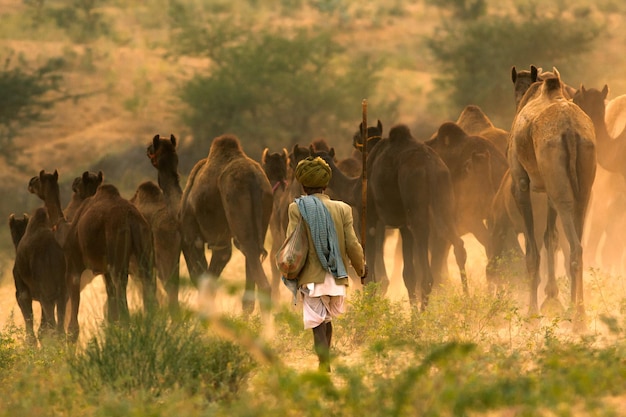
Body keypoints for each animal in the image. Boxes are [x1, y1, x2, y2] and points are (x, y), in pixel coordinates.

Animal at [63, 182, 156, 338]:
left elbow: (74, 309)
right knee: (148, 285)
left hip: (117, 254)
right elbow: (110, 304)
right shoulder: (105, 270)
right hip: (144, 250)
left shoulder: (73, 263)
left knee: (122, 293)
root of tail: (131, 218)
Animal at [177, 133, 272, 312]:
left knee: (262, 282)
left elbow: (203, 279)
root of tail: (253, 179)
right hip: (263, 216)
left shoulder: (192, 237)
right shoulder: (220, 242)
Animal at [504, 68, 592, 328]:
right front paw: (554, 301)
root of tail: (570, 132)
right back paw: (578, 313)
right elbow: (550, 238)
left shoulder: (520, 183)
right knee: (577, 240)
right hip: (580, 184)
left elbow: (532, 252)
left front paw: (532, 314)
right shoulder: (550, 188)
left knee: (574, 246)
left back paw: (578, 320)